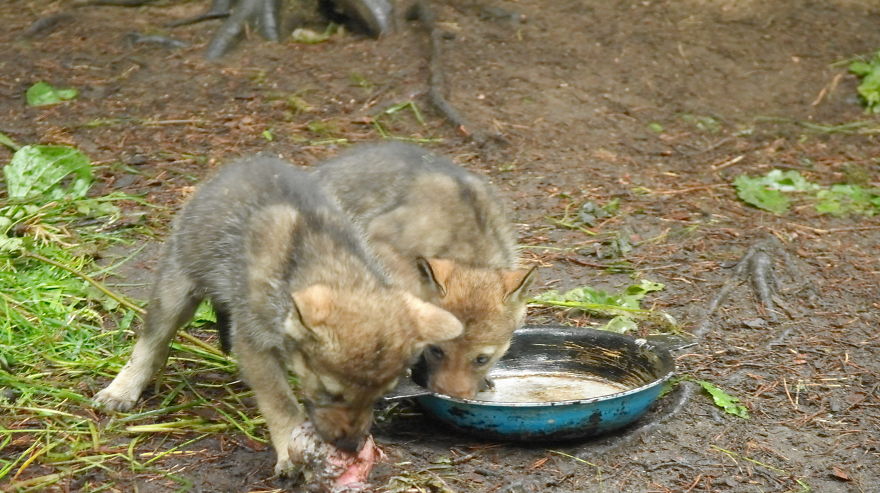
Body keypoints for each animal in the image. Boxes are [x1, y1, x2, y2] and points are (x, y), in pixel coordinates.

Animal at [93, 155, 463, 474]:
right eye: (331, 392)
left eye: (379, 396)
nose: (352, 447)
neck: (335, 268)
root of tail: (238, 165)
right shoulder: (253, 343)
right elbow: (281, 404)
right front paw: (288, 452)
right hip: (177, 287)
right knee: (151, 343)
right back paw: (121, 390)